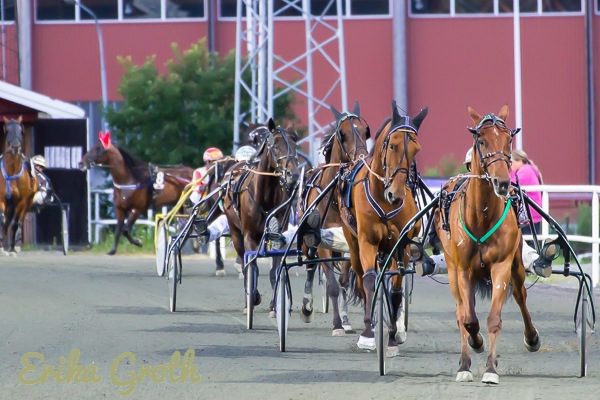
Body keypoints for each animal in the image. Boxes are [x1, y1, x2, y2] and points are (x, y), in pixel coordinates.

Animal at [0, 116, 36, 256]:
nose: (15, 147)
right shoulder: (2, 199)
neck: (12, 172)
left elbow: (15, 223)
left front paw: (12, 248)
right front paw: (2, 247)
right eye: (7, 129)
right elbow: (2, 220)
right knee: (6, 222)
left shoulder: (21, 202)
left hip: (26, 204)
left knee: (18, 220)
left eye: (21, 130)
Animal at [223, 120, 300, 314]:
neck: (265, 196)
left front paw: (275, 304)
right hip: (235, 232)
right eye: (275, 145)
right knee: (244, 261)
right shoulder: (249, 235)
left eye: (295, 144)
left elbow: (275, 268)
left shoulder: (278, 233)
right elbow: (252, 266)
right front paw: (253, 297)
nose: (293, 175)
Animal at [300, 100, 370, 334]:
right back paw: (306, 308)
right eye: (343, 133)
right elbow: (331, 284)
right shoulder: (321, 241)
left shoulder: (348, 239)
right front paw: (337, 324)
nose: (362, 158)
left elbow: (344, 281)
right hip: (308, 240)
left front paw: (345, 321)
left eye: (365, 131)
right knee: (310, 265)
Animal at [338, 101, 426, 354]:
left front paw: (394, 335)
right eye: (393, 145)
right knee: (361, 277)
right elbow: (369, 281)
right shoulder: (367, 241)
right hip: (353, 243)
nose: (395, 195)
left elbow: (396, 288)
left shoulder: (401, 245)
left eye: (416, 149)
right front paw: (368, 334)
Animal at [432, 104, 540, 384]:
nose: (503, 182)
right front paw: (472, 352)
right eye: (481, 140)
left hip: (516, 265)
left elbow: (494, 319)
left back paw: (531, 337)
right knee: (461, 311)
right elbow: (468, 319)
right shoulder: (462, 269)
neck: (481, 216)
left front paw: (491, 369)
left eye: (508, 139)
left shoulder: (501, 265)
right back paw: (466, 357)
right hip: (452, 270)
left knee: (520, 295)